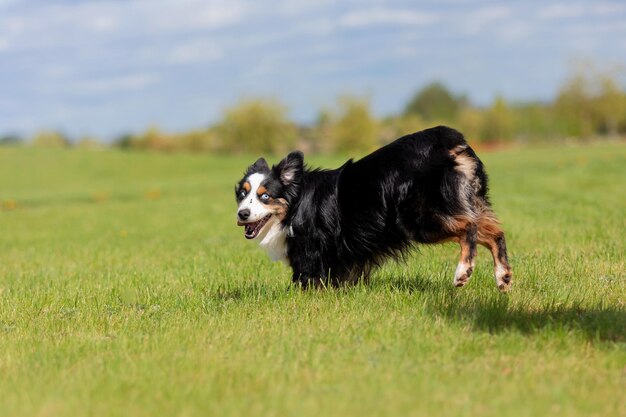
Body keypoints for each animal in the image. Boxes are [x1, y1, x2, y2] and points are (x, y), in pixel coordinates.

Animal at [234, 125, 512, 290]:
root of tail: (449, 139)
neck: (295, 204)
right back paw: (503, 278)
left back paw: (463, 272)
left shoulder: (310, 252)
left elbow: (306, 280)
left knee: (470, 227)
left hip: (418, 217)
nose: (242, 214)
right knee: (495, 232)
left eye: (265, 196)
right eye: (242, 194)